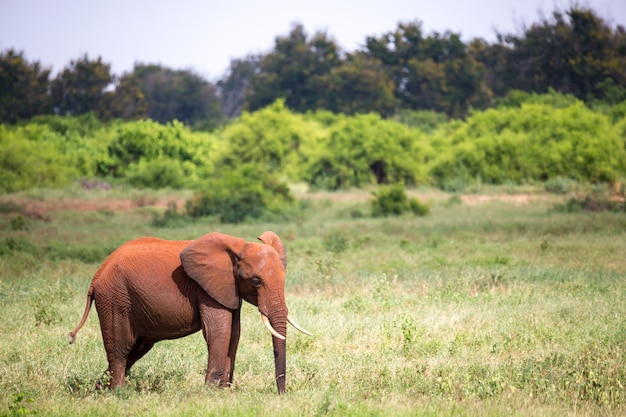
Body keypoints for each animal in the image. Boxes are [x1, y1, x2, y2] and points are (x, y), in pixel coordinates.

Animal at [68, 231, 310, 394]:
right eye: (256, 281)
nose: (281, 394)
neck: (238, 247)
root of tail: (96, 277)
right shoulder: (206, 288)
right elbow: (218, 332)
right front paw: (211, 393)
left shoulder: (228, 288)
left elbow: (234, 333)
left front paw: (224, 391)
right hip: (115, 299)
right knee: (121, 348)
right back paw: (119, 393)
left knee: (135, 349)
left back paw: (99, 390)